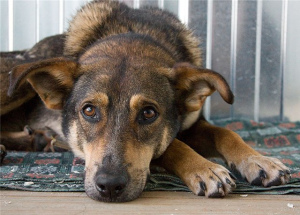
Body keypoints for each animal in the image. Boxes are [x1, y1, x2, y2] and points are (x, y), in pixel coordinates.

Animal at [0, 0, 290, 202]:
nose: (109, 186)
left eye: (149, 113)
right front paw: (206, 168)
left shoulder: (193, 122)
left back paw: (36, 141)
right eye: (89, 110)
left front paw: (259, 161)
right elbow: (173, 145)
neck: (134, 34)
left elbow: (226, 133)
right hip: (15, 85)